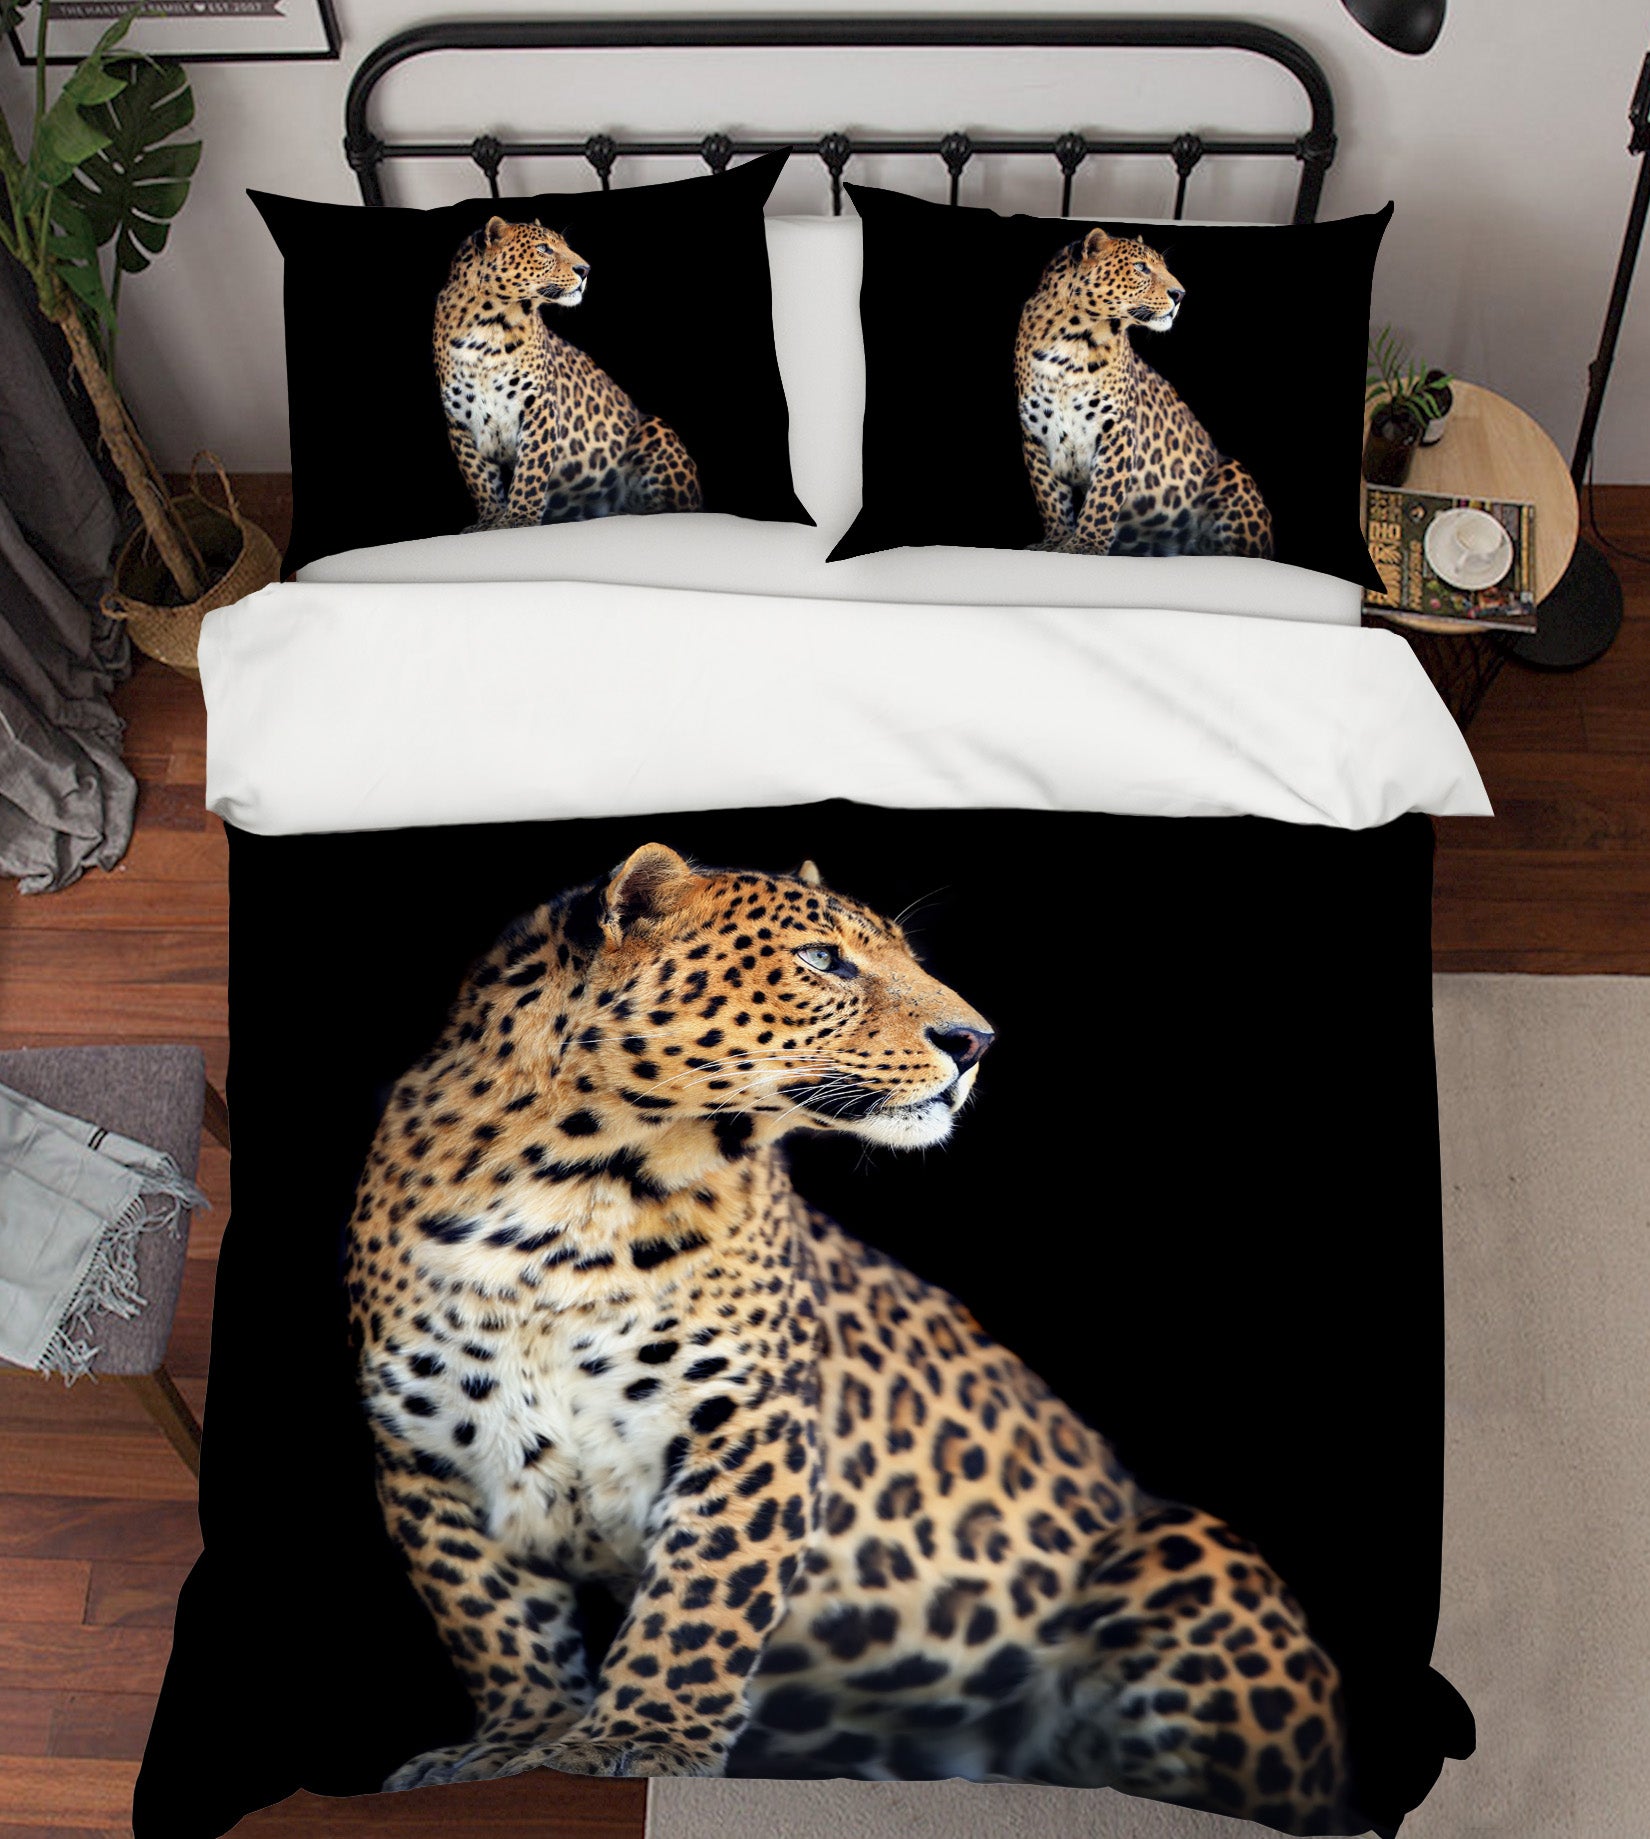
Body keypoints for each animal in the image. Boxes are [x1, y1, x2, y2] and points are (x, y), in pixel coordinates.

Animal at [344, 843, 1349, 1833]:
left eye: (903, 956)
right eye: (823, 959)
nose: (976, 1041)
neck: (569, 1193)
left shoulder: (748, 1422)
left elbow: (698, 1603)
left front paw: (637, 1739)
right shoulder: (423, 1450)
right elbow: (492, 1618)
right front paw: (517, 1744)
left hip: (1185, 1545)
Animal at [433, 216, 701, 530]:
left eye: (564, 245)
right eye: (543, 248)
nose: (585, 270)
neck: (488, 326)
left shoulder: (539, 404)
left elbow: (531, 468)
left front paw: (519, 518)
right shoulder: (459, 420)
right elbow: (479, 477)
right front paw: (489, 520)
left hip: (653, 429)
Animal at [1015, 227, 1273, 560]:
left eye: (1163, 266)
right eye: (1140, 267)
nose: (1180, 295)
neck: (1072, 342)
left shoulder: (1117, 429)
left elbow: (1104, 494)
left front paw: (1085, 545)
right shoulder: (1035, 435)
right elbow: (1049, 495)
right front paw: (1054, 542)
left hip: (1231, 471)